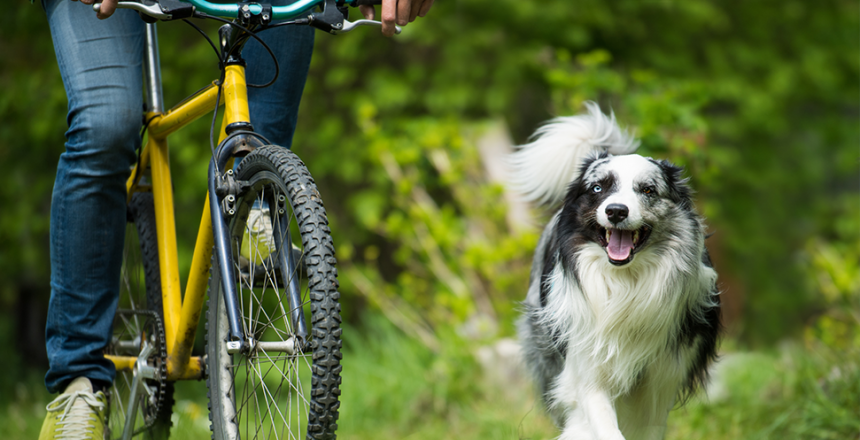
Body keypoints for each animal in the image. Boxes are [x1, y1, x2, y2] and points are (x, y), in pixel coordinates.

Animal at [510, 103, 720, 440]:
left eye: (647, 190)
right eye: (598, 188)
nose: (616, 211)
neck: (626, 282)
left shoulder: (662, 379)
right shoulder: (587, 366)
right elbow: (602, 422)